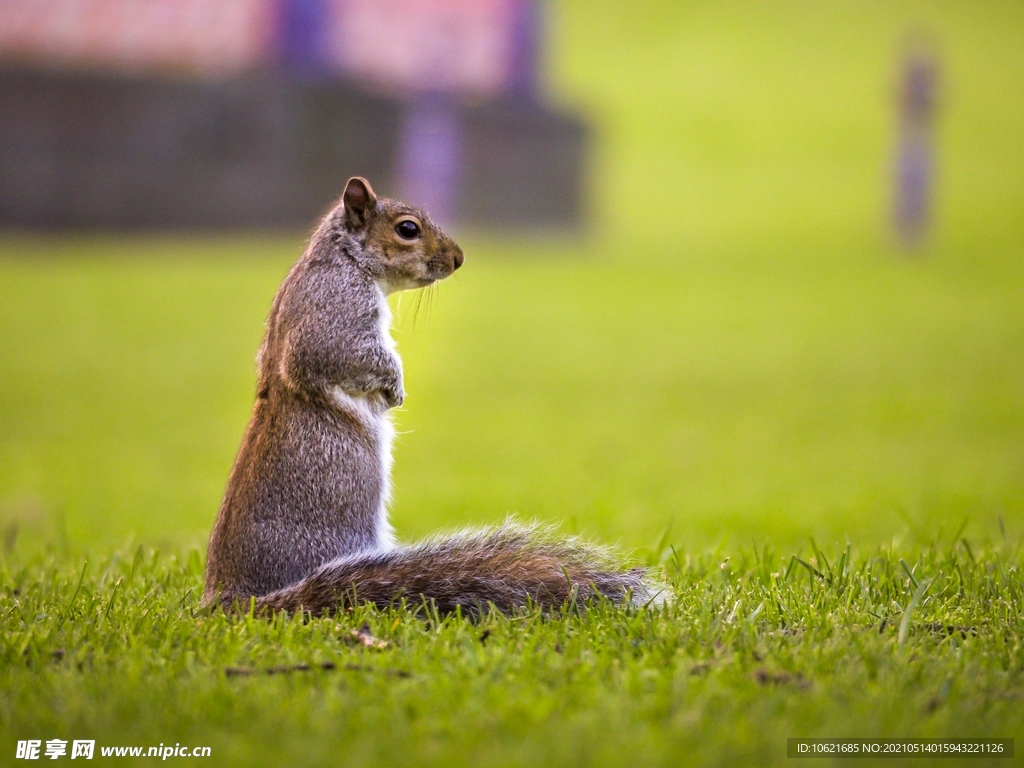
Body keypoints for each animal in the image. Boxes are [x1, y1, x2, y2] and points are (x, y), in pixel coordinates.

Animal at [202, 177, 651, 618]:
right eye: (407, 229)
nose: (458, 258)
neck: (346, 259)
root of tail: (239, 600)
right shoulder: (337, 310)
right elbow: (347, 353)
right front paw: (395, 388)